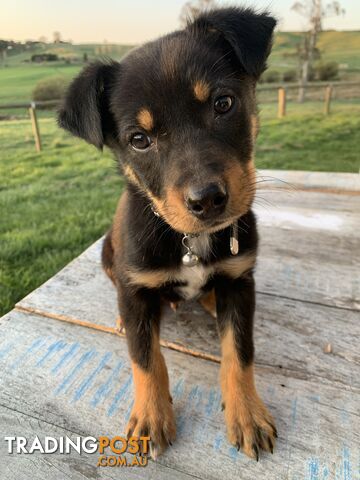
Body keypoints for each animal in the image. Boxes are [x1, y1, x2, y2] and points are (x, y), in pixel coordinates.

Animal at [58, 6, 278, 462]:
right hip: (109, 253)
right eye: (139, 140)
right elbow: (146, 358)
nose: (207, 200)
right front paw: (150, 416)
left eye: (223, 103)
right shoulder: (136, 284)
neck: (187, 241)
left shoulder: (240, 279)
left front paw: (248, 413)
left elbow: (239, 352)